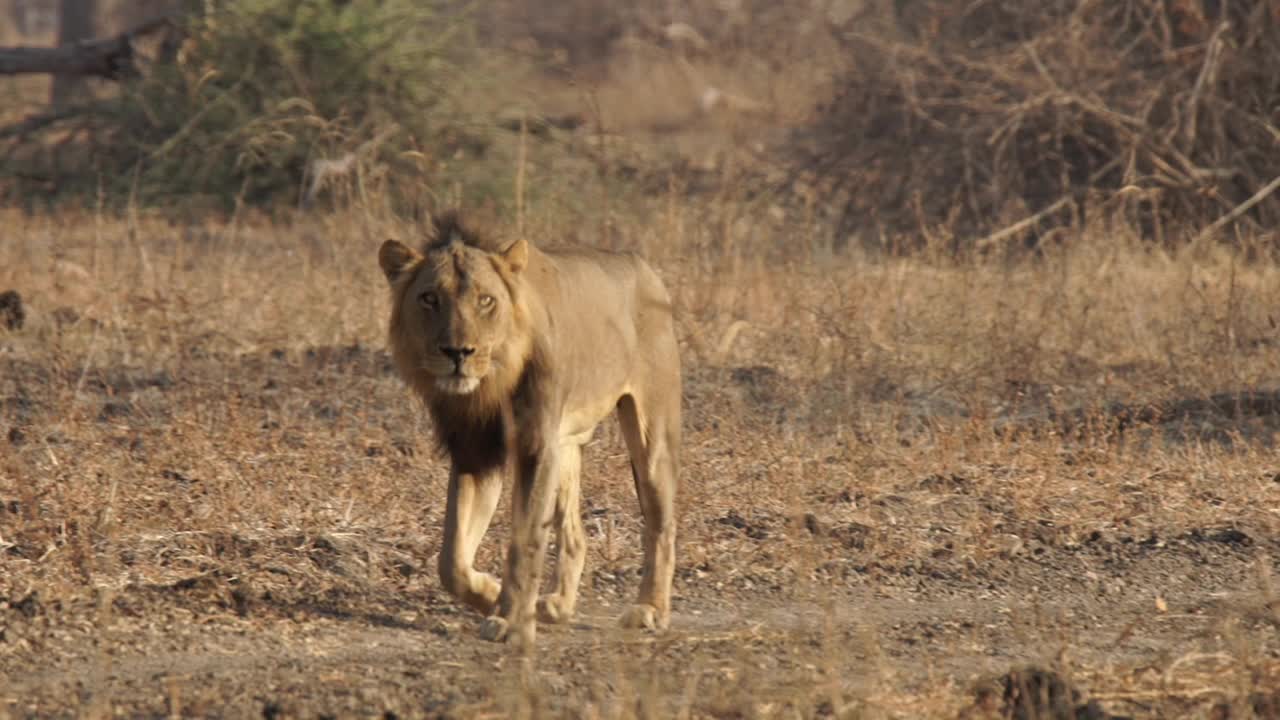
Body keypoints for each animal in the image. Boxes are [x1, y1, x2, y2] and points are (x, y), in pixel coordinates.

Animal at [378, 211, 680, 645]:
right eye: (429, 298)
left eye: (486, 300)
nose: (458, 353)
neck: (488, 385)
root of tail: (642, 265)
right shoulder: (475, 451)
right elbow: (451, 558)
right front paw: (491, 593)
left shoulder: (536, 445)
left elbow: (524, 540)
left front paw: (509, 618)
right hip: (567, 446)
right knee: (574, 534)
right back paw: (556, 605)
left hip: (649, 433)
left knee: (661, 522)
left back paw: (650, 609)